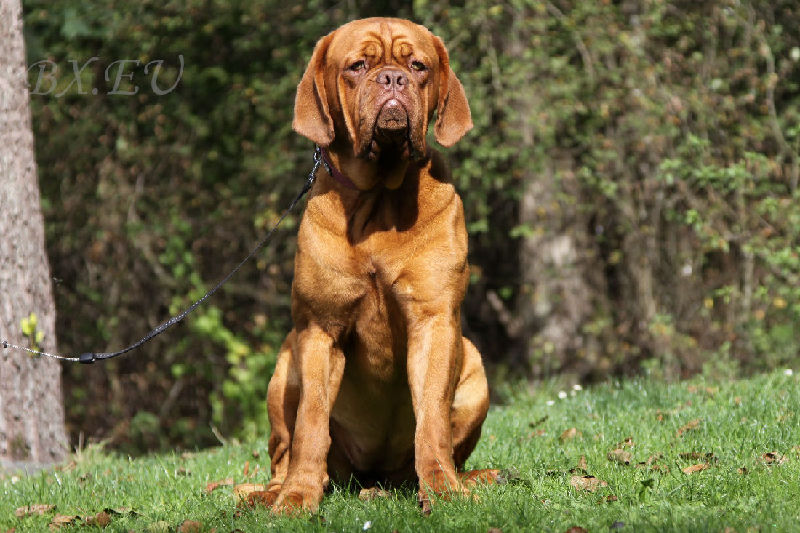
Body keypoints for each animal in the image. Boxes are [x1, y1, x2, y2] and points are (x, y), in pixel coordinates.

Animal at [260, 18, 494, 512]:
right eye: (357, 66)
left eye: (418, 66)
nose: (392, 79)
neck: (378, 200)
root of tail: (374, 477)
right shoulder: (319, 330)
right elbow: (311, 424)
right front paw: (298, 496)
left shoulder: (434, 319)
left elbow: (432, 419)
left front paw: (442, 488)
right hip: (285, 363)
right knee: (284, 451)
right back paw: (269, 493)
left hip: (474, 365)